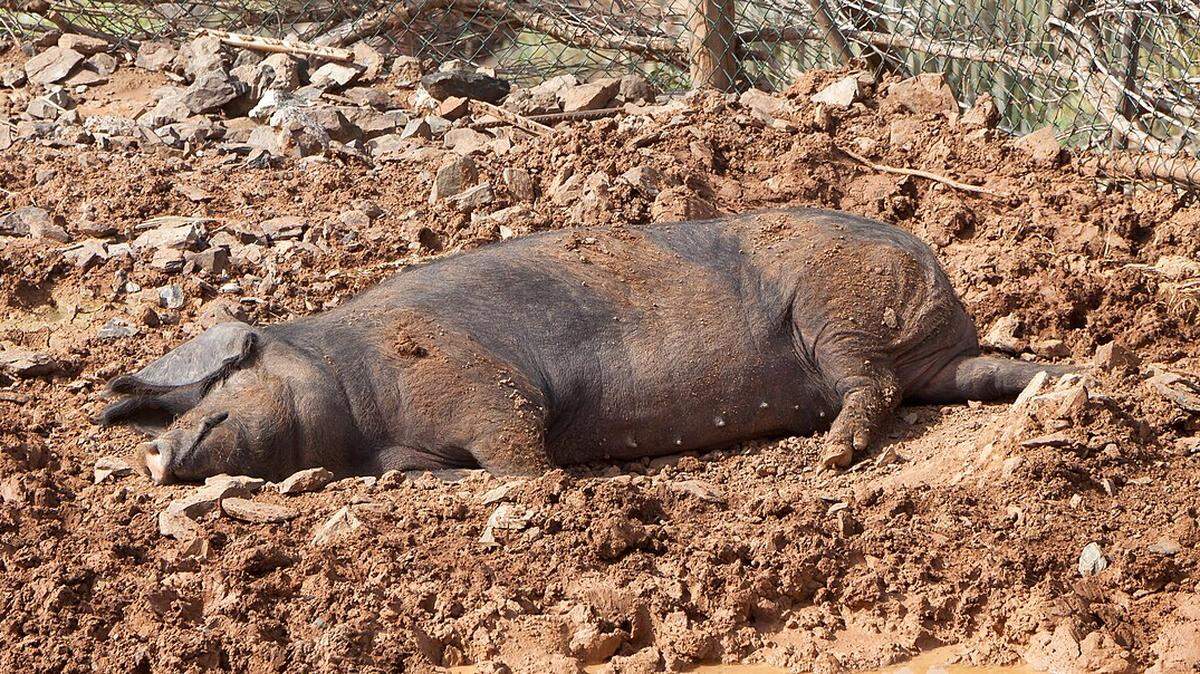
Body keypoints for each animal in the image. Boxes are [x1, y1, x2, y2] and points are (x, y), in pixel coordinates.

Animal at [101, 208, 1072, 484]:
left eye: (221, 382)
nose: (153, 452)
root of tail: (934, 267)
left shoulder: (486, 386)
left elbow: (521, 455)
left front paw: (549, 486)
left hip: (840, 312)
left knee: (869, 386)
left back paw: (829, 457)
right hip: (926, 351)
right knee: (958, 376)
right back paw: (1056, 380)